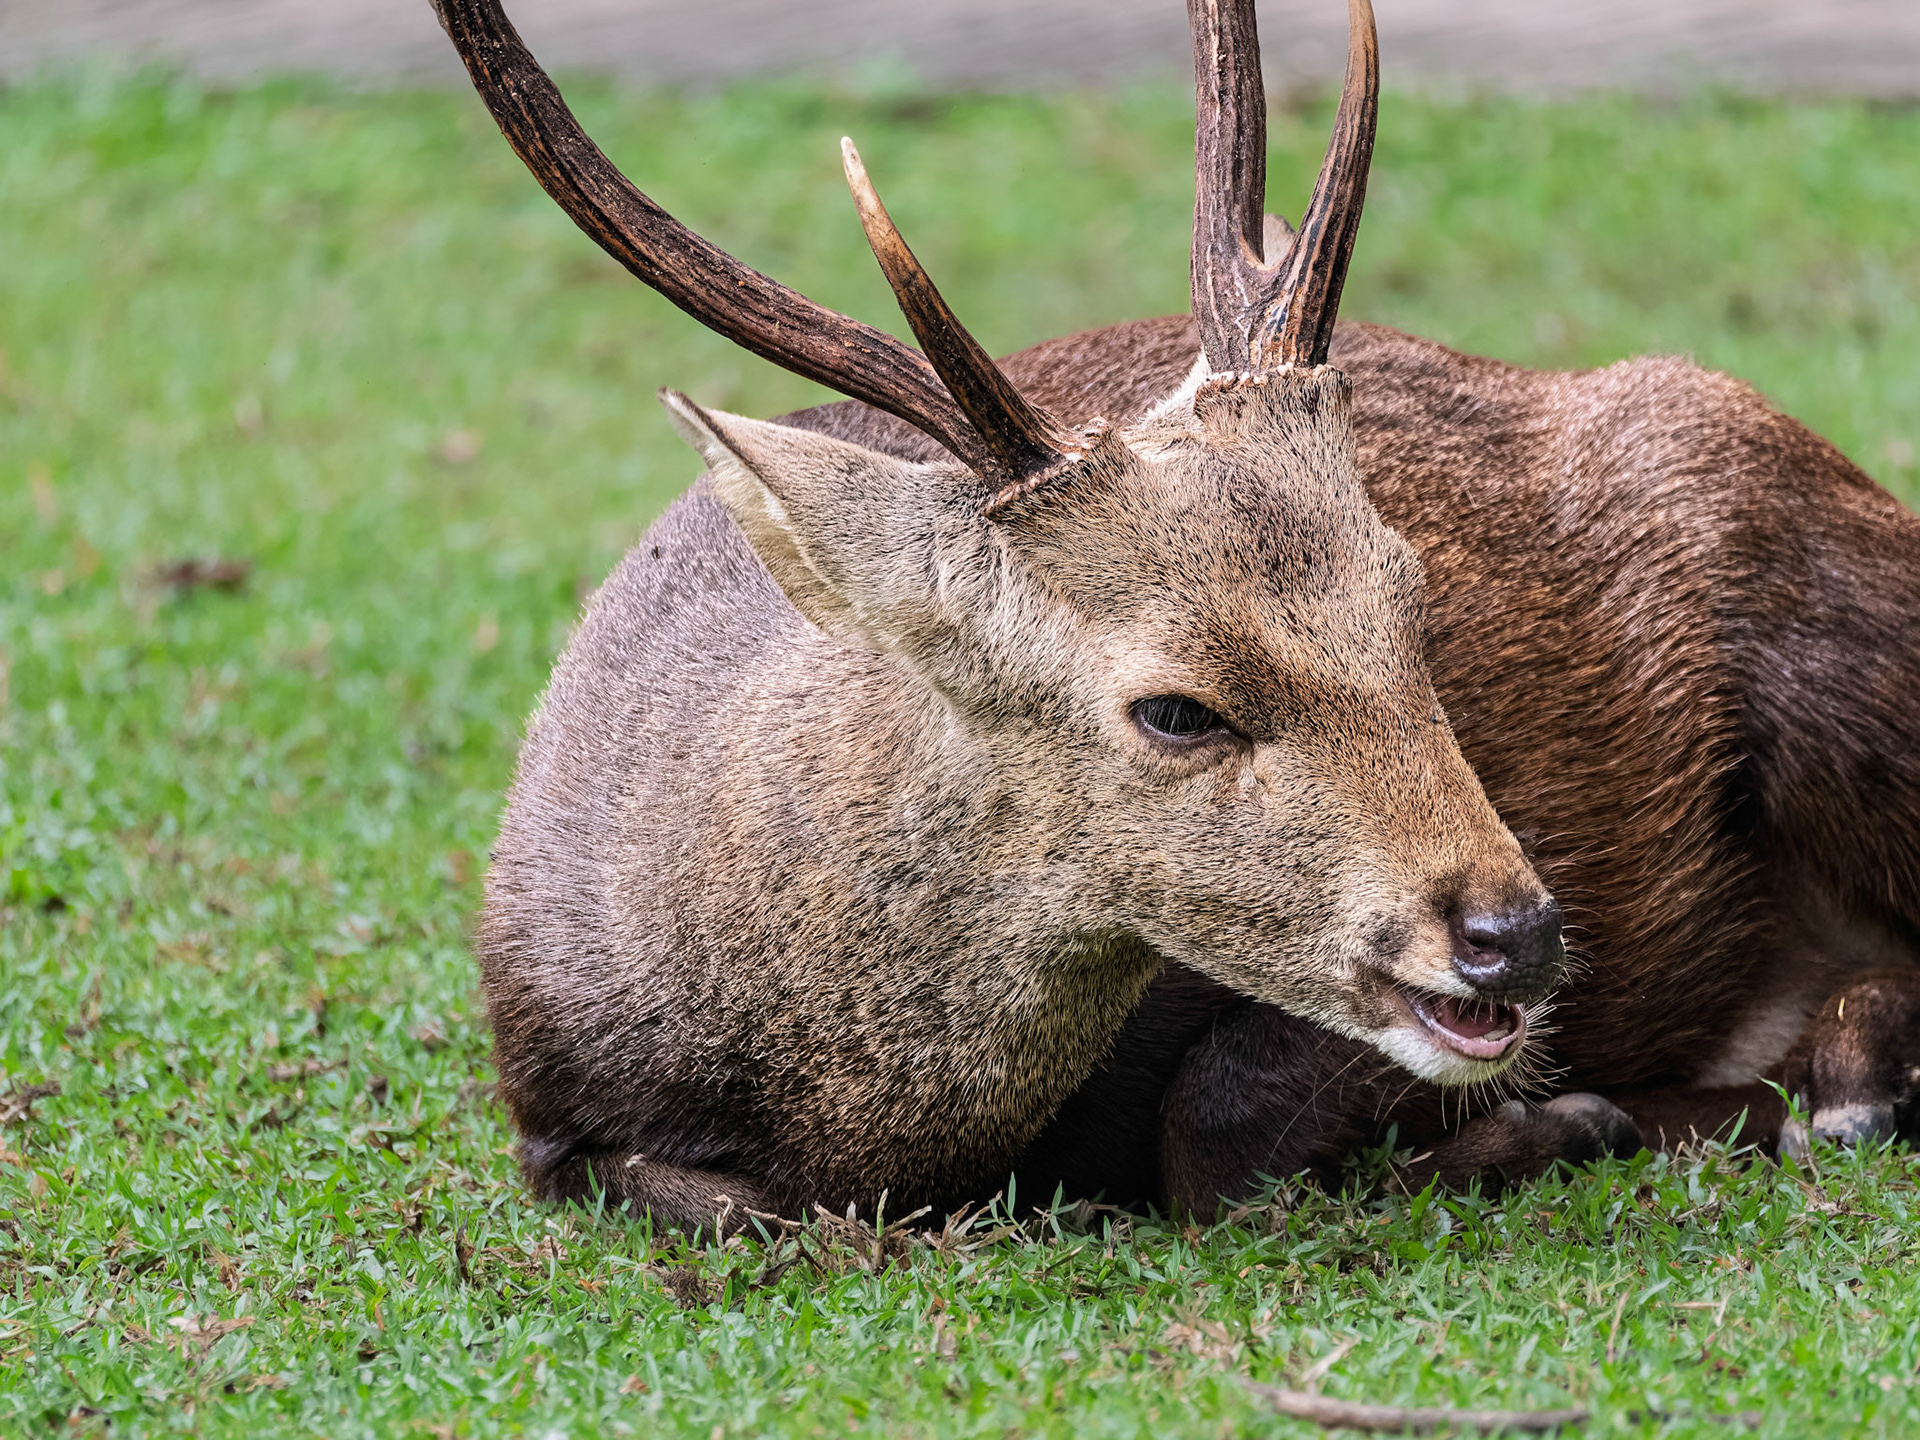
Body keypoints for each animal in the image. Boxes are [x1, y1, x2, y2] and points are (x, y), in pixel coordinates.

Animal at [436, 0, 1920, 1229]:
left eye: (1417, 603)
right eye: (1175, 709)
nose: (1519, 934)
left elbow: (1216, 1139)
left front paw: (1566, 1124)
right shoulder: (549, 1114)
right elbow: (721, 1209)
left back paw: (1835, 1087)